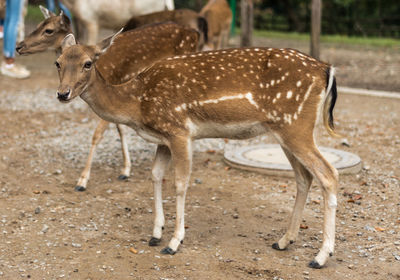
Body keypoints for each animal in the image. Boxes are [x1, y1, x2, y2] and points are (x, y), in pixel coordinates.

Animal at [16, 6, 200, 191]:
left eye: (48, 30)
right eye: (57, 63)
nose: (19, 46)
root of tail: (195, 33)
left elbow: (97, 135)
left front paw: (82, 181)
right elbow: (121, 129)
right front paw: (125, 170)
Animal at [54, 29, 340, 270]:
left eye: (88, 63)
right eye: (58, 61)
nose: (62, 93)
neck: (137, 103)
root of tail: (326, 69)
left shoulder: (179, 130)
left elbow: (180, 183)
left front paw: (173, 242)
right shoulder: (163, 138)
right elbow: (156, 175)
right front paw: (155, 233)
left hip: (296, 126)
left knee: (328, 174)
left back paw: (320, 256)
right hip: (286, 130)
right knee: (304, 177)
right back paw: (283, 240)